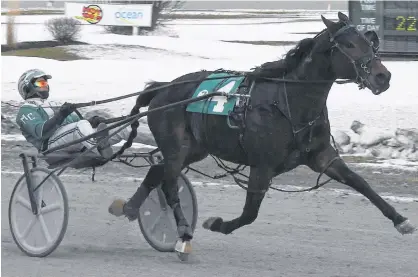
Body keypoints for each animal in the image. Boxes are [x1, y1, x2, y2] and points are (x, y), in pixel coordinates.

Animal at [107, 12, 414, 252]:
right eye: (349, 44)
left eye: (370, 42)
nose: (383, 76)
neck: (289, 102)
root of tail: (162, 87)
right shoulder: (262, 166)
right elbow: (250, 214)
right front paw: (216, 224)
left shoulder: (322, 157)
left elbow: (361, 183)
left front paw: (401, 220)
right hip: (177, 147)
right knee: (169, 184)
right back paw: (182, 232)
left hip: (193, 149)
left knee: (156, 172)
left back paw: (131, 208)